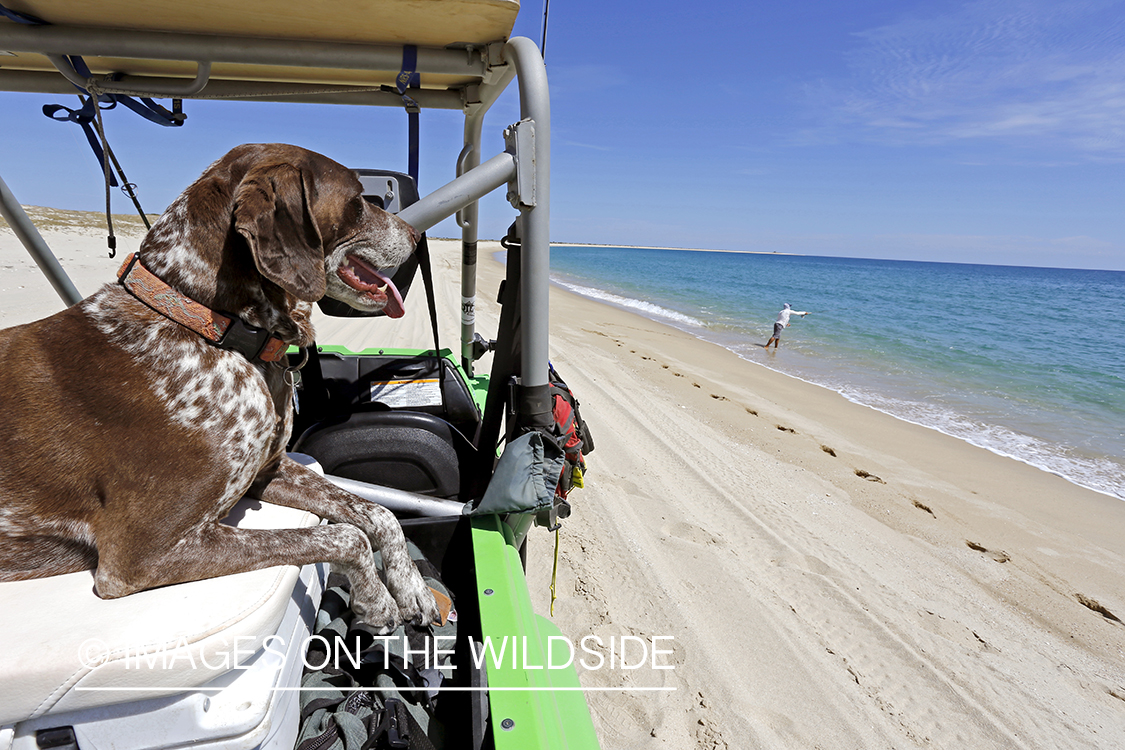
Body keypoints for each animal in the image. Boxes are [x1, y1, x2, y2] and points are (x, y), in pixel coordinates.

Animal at [0, 143, 438, 629]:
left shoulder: (266, 470)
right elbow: (346, 536)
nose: (417, 236)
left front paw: (410, 587)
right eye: (361, 199)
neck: (207, 323)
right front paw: (376, 597)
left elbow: (378, 513)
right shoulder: (144, 554)